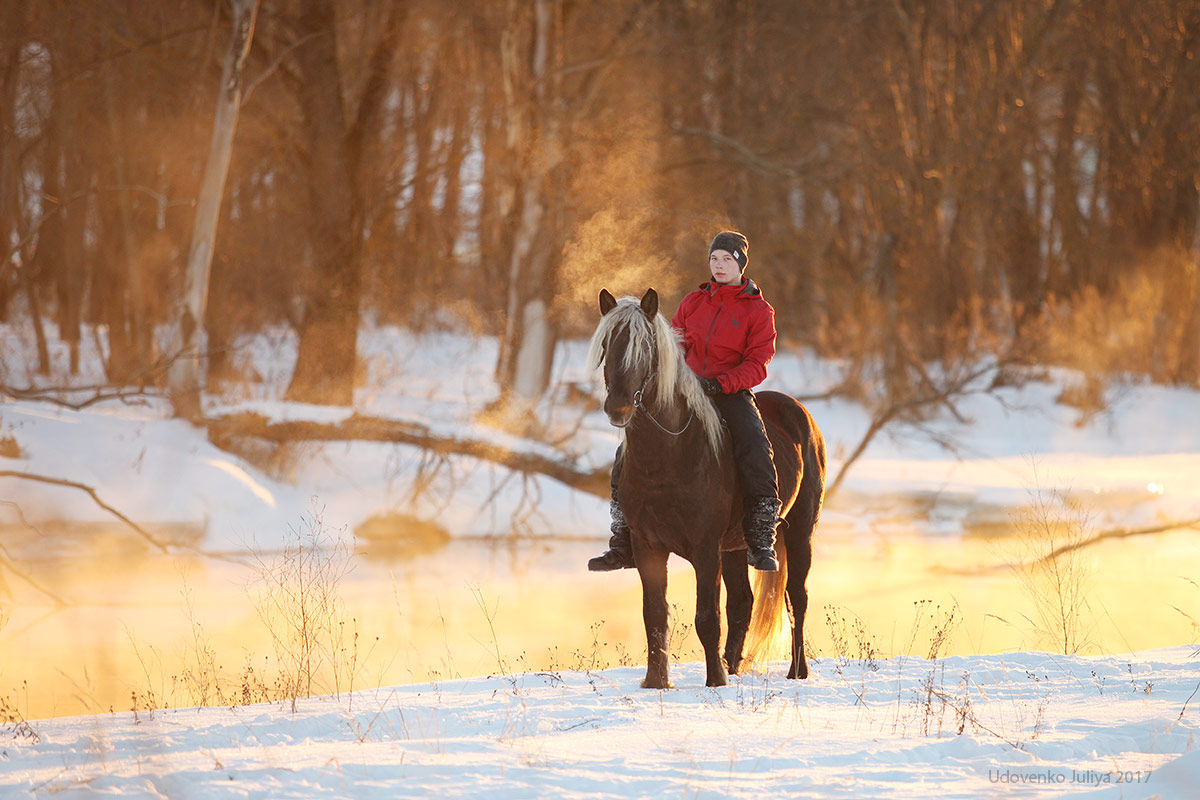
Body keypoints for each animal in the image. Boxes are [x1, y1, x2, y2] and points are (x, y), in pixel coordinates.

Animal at [588, 287, 826, 688]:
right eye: (607, 343)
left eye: (646, 347)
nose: (617, 409)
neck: (668, 458)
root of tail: (800, 412)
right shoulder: (648, 547)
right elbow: (654, 615)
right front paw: (657, 682)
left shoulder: (705, 548)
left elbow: (706, 617)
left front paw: (715, 682)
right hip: (735, 546)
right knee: (743, 601)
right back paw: (733, 665)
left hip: (799, 531)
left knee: (797, 597)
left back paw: (796, 671)